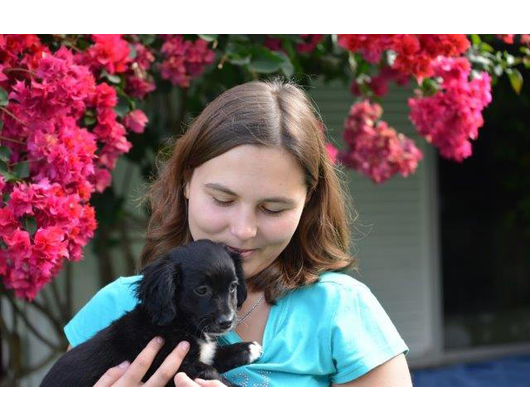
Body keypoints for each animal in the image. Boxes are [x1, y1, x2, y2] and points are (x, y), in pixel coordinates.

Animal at [41, 240, 262, 388]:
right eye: (201, 290)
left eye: (233, 287)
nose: (227, 322)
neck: (179, 324)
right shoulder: (177, 366)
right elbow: (212, 372)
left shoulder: (198, 356)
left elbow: (215, 355)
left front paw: (247, 348)